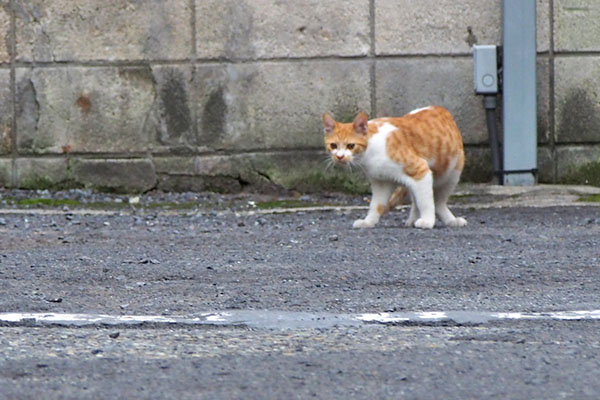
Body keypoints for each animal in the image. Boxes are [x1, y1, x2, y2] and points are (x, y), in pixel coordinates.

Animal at [326, 106, 466, 230]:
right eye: (333, 145)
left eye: (351, 145)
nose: (339, 157)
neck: (370, 150)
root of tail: (442, 109)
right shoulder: (381, 182)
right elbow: (376, 205)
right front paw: (368, 222)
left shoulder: (420, 170)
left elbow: (425, 201)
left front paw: (427, 221)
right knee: (417, 199)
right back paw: (413, 219)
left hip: (451, 174)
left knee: (437, 201)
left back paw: (451, 220)